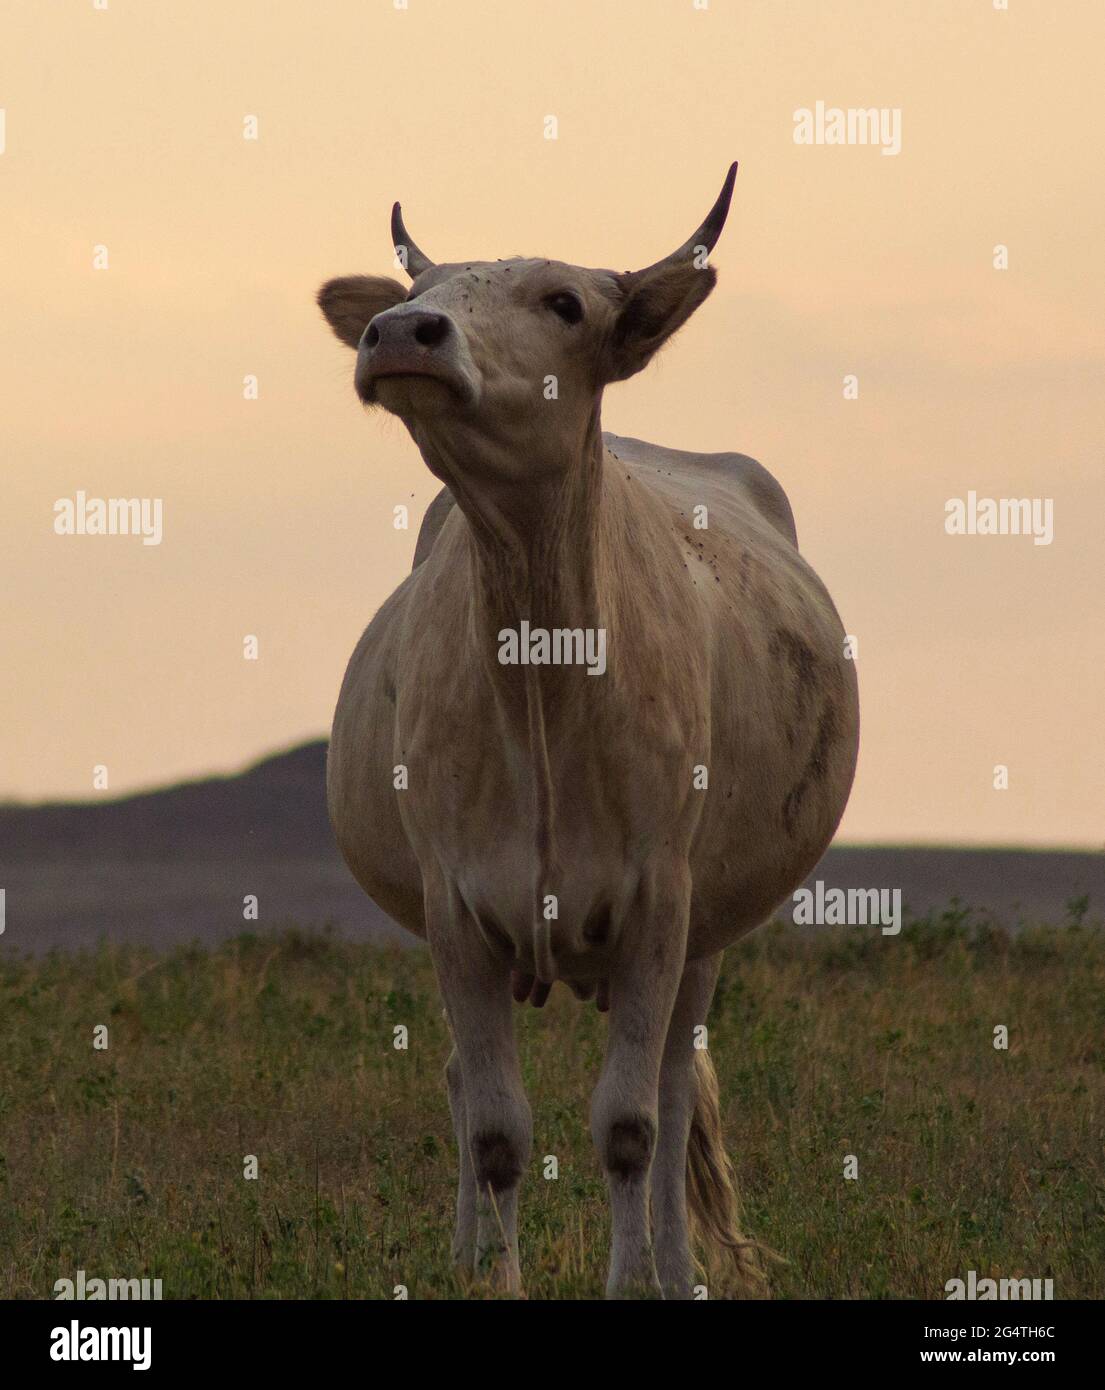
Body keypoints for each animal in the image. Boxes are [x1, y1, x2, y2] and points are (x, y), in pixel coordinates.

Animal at [317, 164, 859, 1298]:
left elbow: (628, 1126)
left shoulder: (661, 898)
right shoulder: (454, 904)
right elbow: (495, 1130)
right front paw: (494, 1278)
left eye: (565, 302)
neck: (544, 682)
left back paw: (673, 1270)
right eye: (421, 285)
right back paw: (465, 1252)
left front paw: (630, 1280)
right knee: (461, 1079)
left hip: (707, 931)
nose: (399, 332)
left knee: (672, 1090)